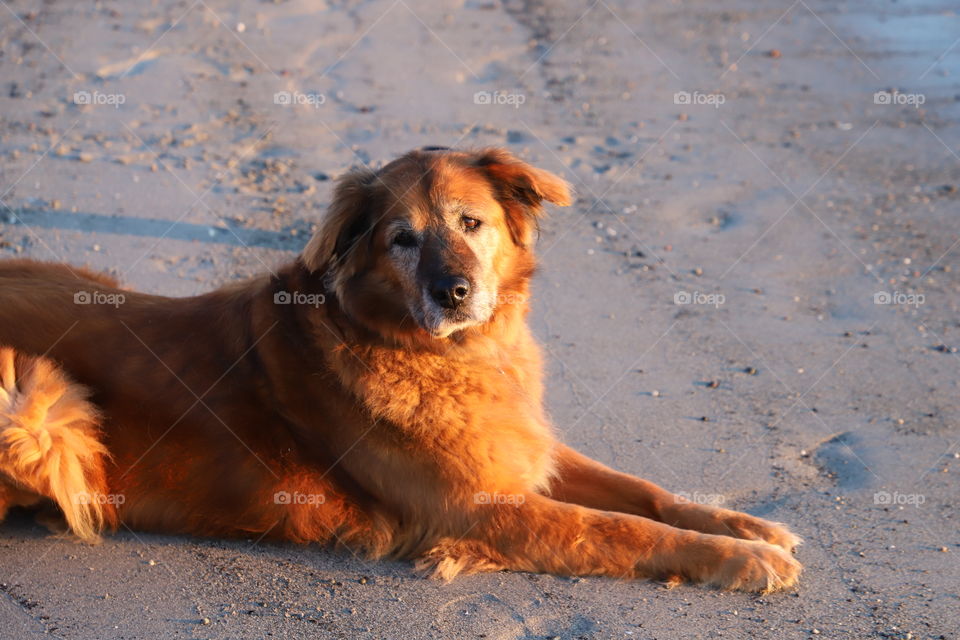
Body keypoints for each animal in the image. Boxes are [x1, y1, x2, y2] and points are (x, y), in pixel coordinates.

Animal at [0, 148, 804, 592]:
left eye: (472, 223)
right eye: (402, 240)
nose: (456, 292)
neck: (447, 355)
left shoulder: (524, 451)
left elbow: (646, 493)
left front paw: (747, 527)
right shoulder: (487, 511)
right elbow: (624, 530)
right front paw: (742, 560)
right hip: (40, 410)